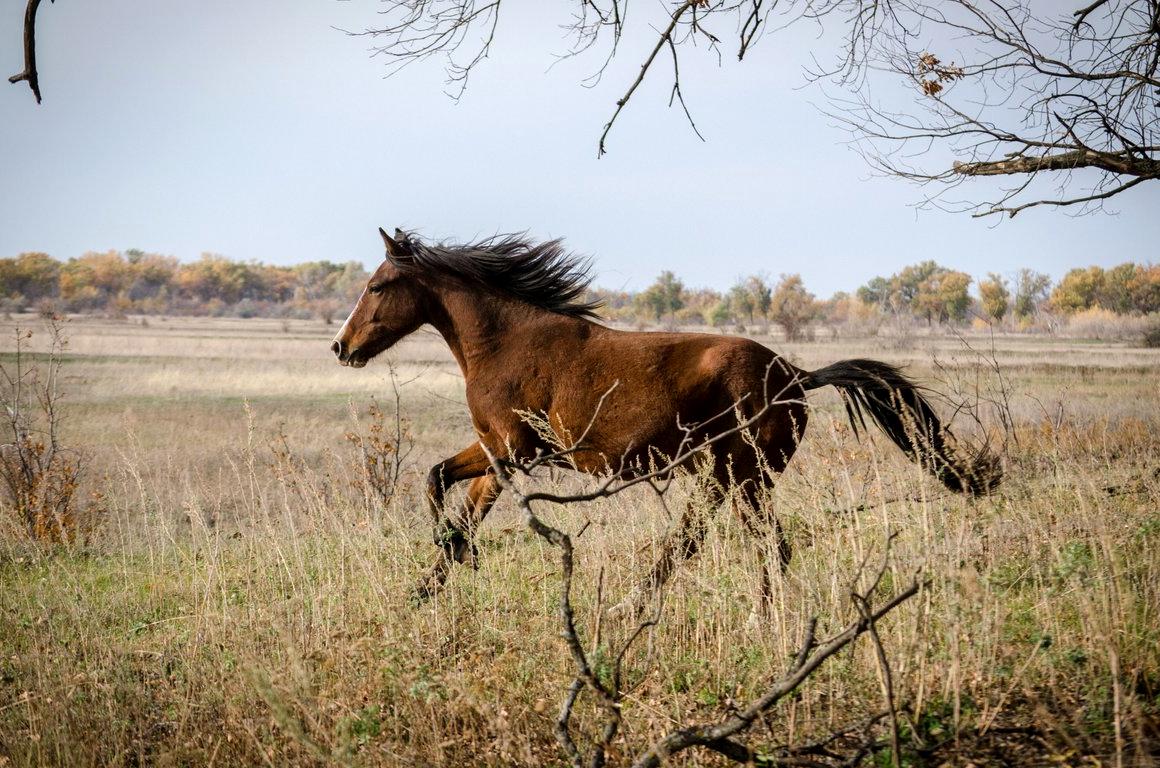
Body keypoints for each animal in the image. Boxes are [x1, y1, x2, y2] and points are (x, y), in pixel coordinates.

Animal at [331, 228, 1002, 607]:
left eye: (378, 284)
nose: (342, 347)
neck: (506, 341)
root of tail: (794, 374)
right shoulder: (494, 450)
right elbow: (438, 480)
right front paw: (423, 590)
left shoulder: (512, 453)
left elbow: (458, 512)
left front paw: (439, 572)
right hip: (730, 478)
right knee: (736, 544)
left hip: (738, 475)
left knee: (729, 545)